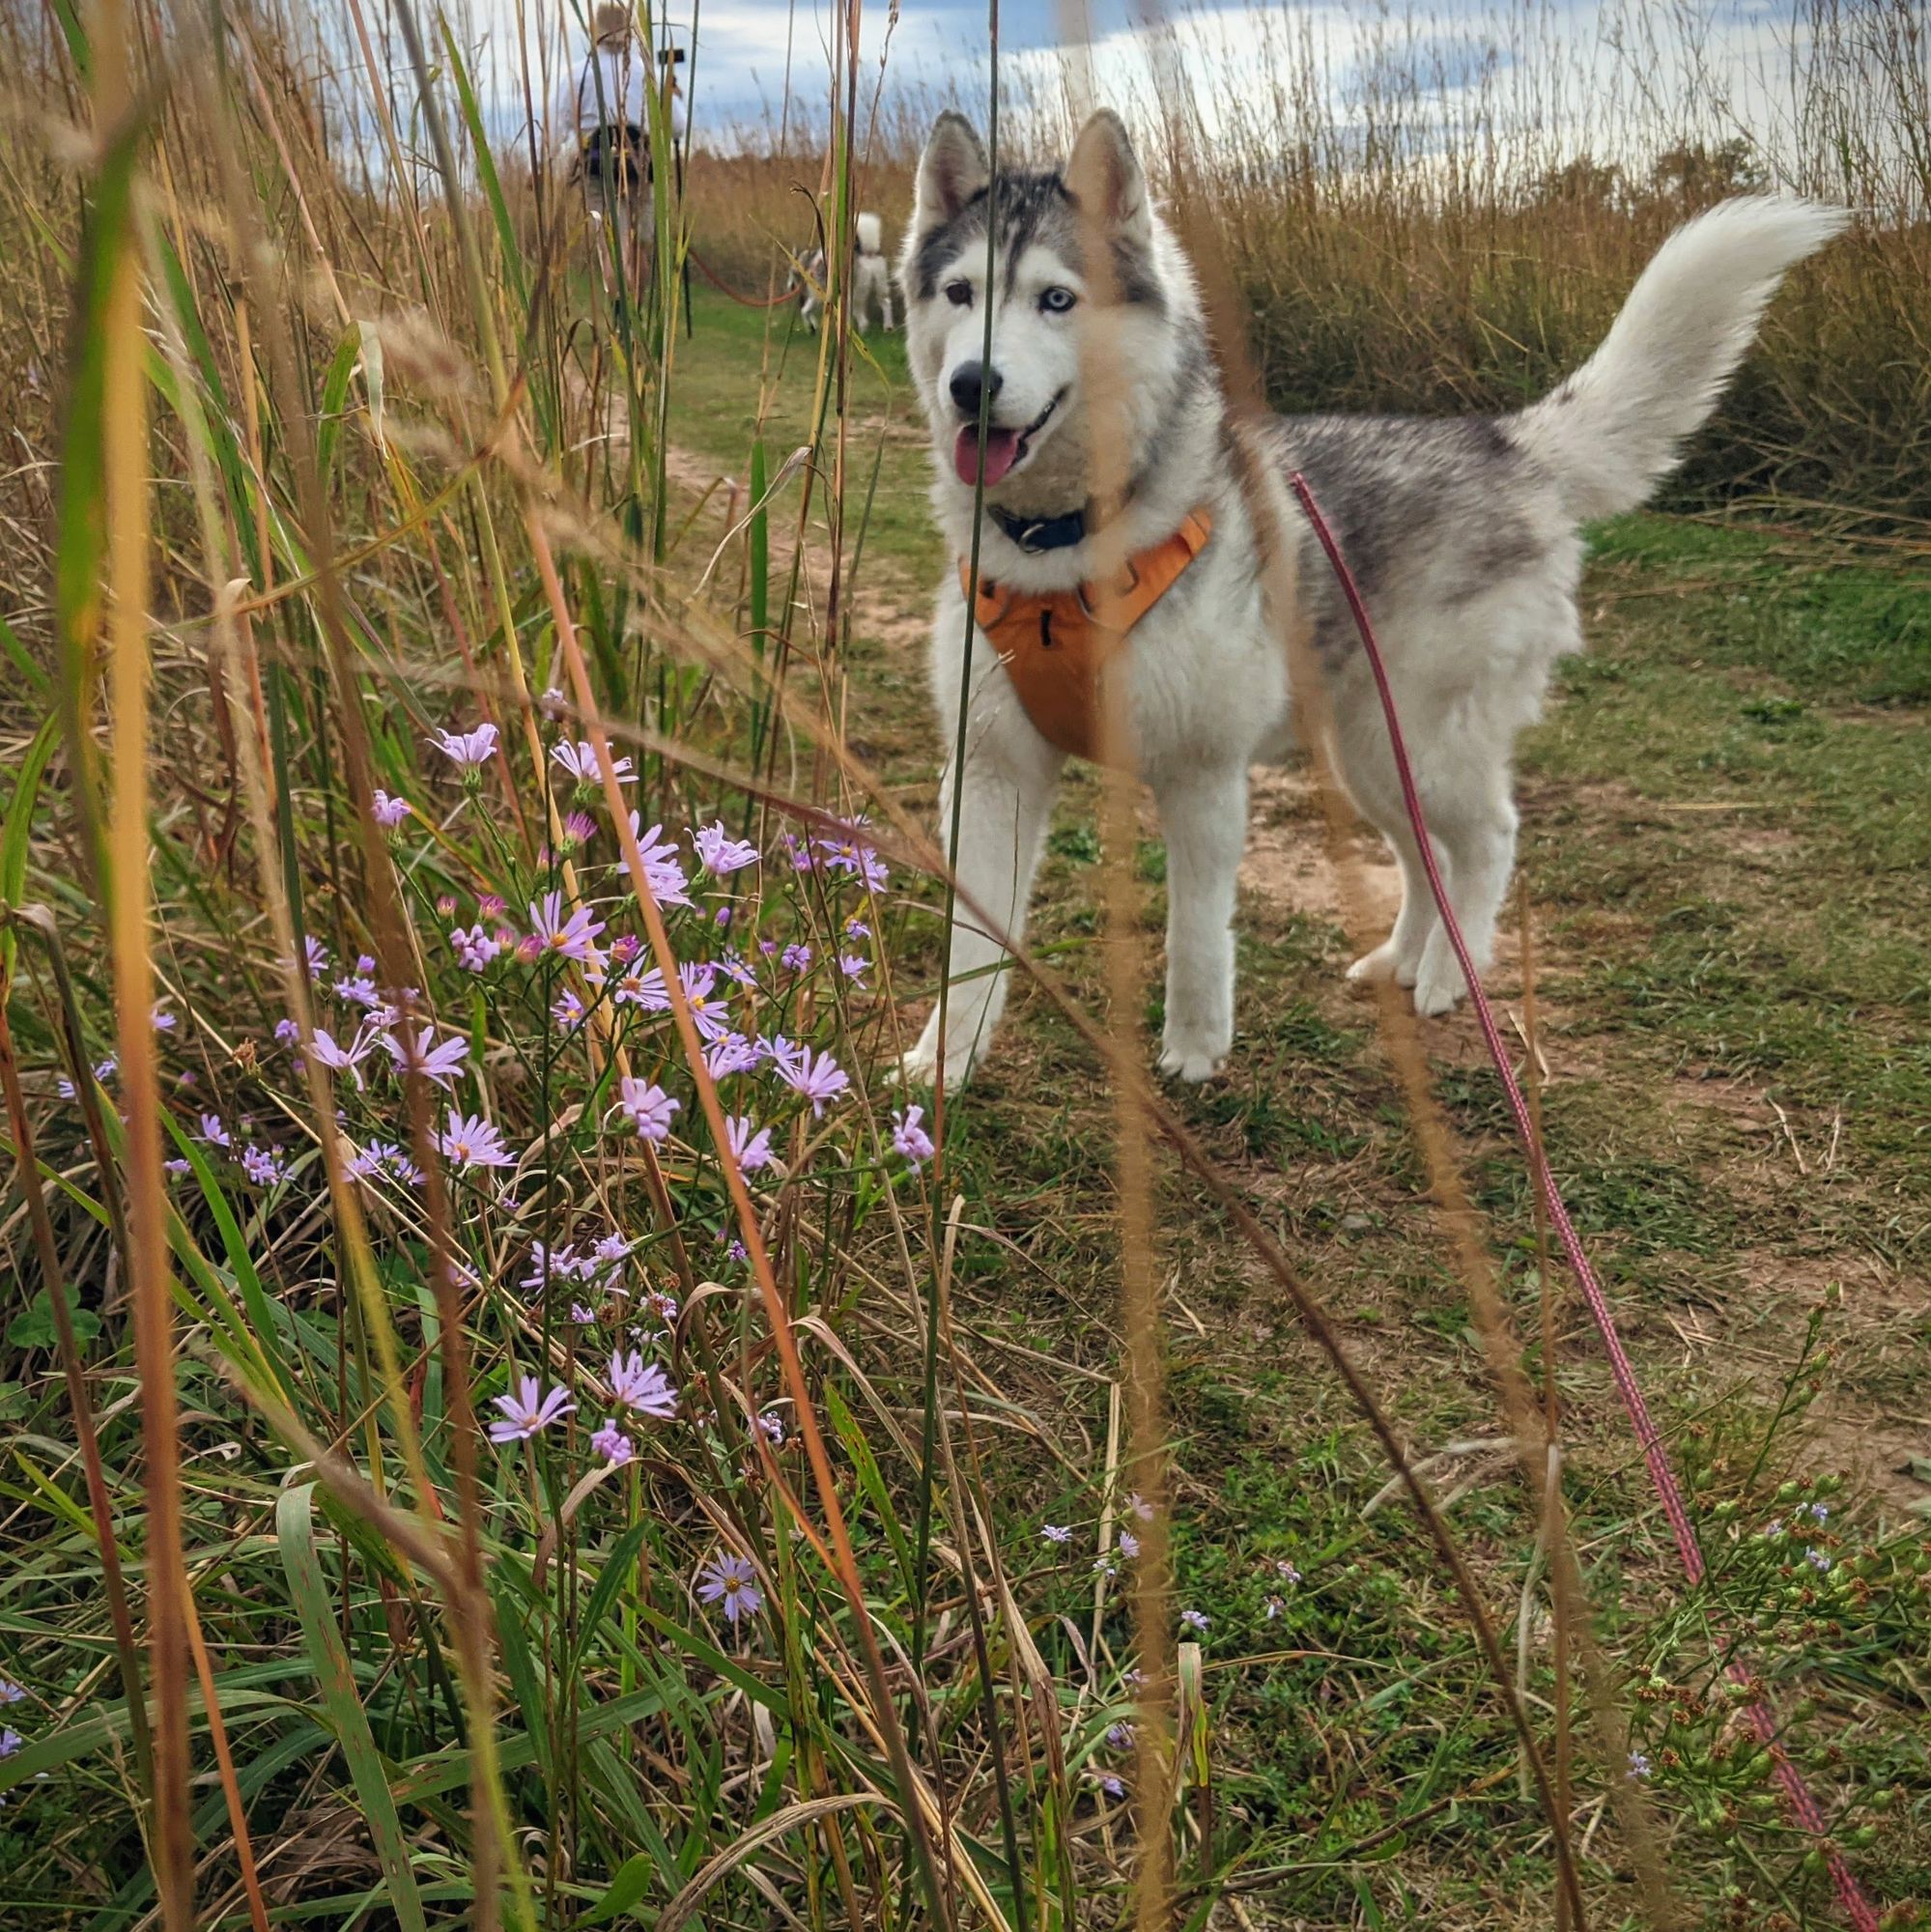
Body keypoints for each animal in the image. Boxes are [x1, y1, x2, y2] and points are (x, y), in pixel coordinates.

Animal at [895, 109, 1846, 1090]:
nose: (970, 385)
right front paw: (944, 1064)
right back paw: (1404, 957)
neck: (1061, 548)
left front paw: (1194, 1052)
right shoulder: (991, 772)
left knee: (1488, 839)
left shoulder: (1201, 776)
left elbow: (1195, 939)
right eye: (962, 293)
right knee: (1425, 859)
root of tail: (1505, 442)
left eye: (1054, 299)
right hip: (1369, 753)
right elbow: (970, 946)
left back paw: (1449, 976)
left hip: (1416, 750)